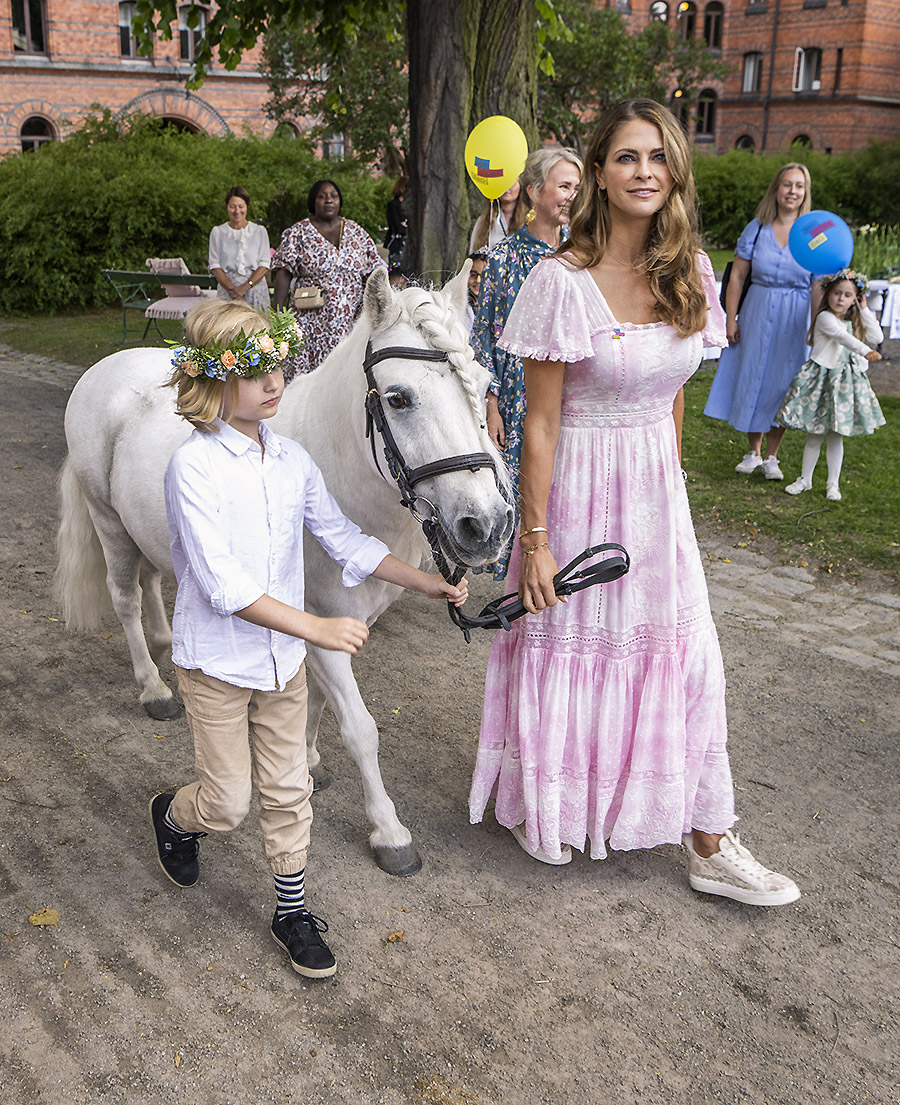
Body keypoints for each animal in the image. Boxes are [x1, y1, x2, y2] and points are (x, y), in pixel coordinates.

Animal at [58, 267, 515, 870]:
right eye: (398, 397)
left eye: (484, 387)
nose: (486, 525)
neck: (337, 468)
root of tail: (103, 368)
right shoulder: (320, 623)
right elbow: (360, 728)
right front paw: (389, 832)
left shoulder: (341, 624)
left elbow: (318, 701)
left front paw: (309, 759)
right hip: (108, 521)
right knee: (125, 597)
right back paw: (153, 688)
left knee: (153, 578)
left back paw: (165, 644)